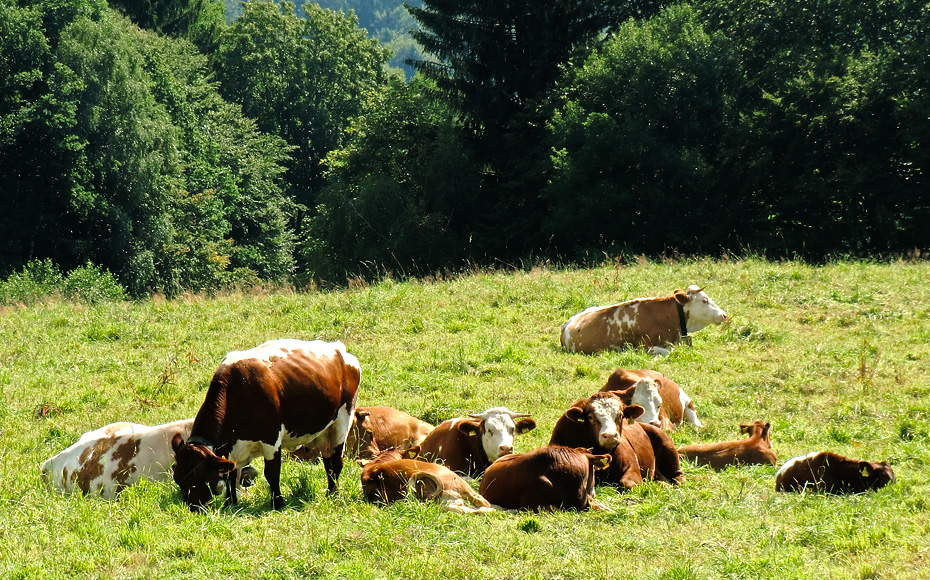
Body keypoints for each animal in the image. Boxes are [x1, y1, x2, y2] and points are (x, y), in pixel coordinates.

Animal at [172, 338, 360, 510]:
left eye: (197, 477)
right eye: (177, 478)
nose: (193, 508)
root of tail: (338, 348)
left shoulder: (271, 438)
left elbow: (272, 473)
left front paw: (278, 503)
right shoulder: (233, 448)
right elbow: (231, 475)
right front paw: (230, 503)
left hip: (342, 422)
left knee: (336, 461)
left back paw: (333, 494)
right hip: (323, 432)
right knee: (328, 463)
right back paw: (330, 491)